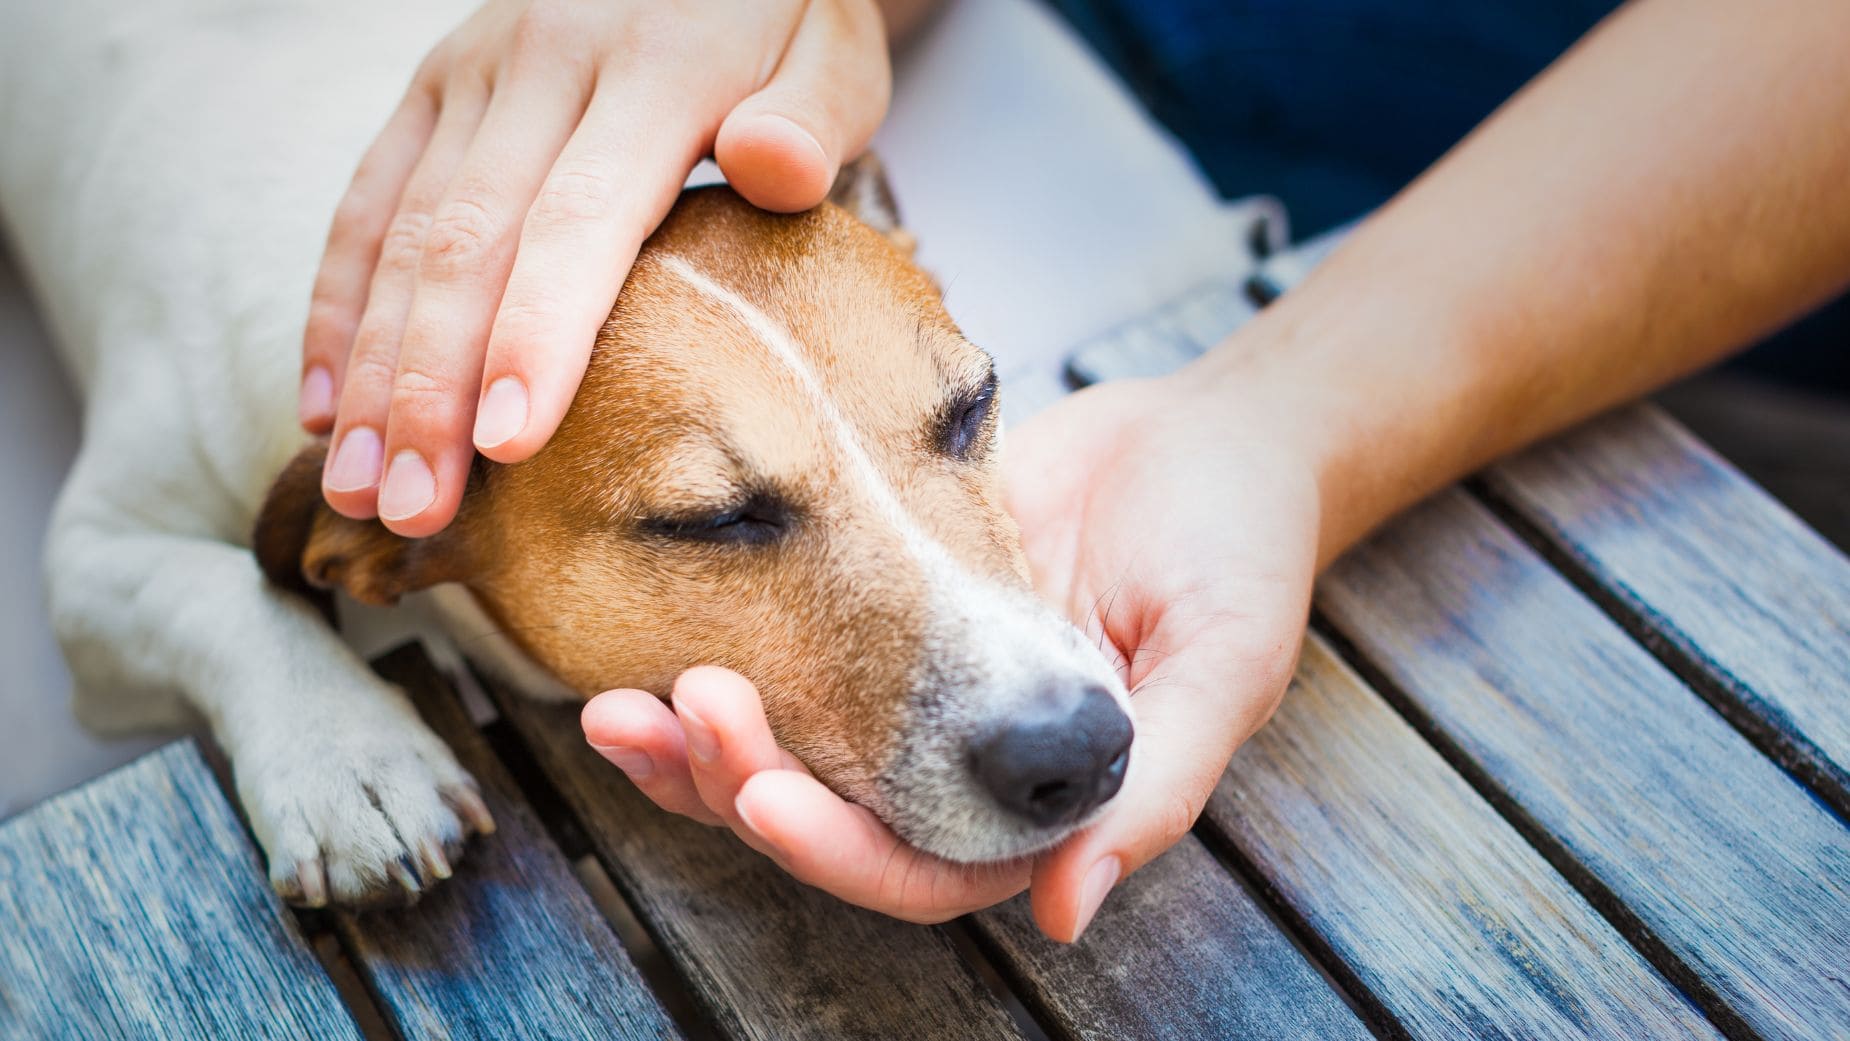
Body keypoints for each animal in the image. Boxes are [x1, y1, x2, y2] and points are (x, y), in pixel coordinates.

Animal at [0, 0, 1132, 909]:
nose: (1076, 748)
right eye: (713, 520)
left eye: (971, 406)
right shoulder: (93, 557)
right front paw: (347, 758)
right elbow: (223, 590)